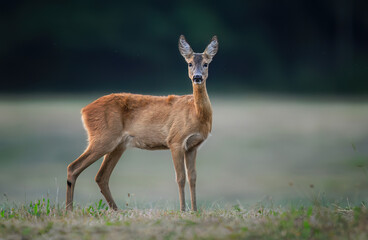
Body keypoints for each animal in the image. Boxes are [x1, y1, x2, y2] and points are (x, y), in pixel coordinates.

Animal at [66, 34, 217, 211]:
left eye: (206, 63)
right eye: (190, 63)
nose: (197, 77)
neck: (196, 113)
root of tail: (84, 110)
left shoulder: (193, 146)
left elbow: (192, 177)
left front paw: (194, 210)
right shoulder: (175, 140)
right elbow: (180, 178)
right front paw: (182, 210)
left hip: (118, 145)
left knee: (101, 176)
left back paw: (116, 210)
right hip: (103, 137)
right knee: (73, 167)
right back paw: (69, 209)